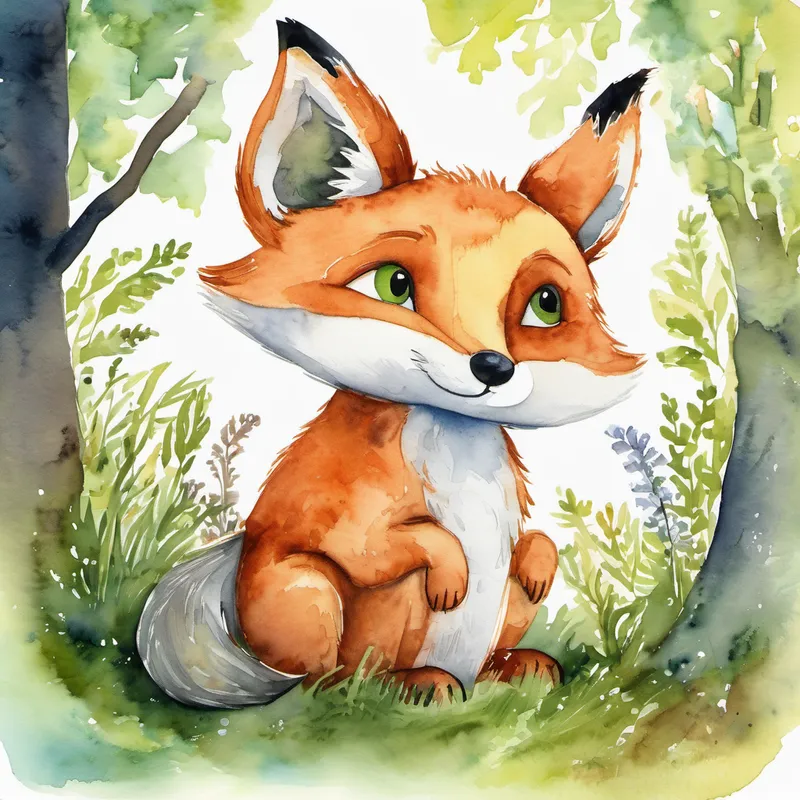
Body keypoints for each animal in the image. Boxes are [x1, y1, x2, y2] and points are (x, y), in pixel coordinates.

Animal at [137, 19, 649, 708]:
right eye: (393, 285)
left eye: (545, 306)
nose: (493, 367)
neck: (454, 447)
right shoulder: (342, 516)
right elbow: (393, 544)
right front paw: (450, 566)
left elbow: (536, 542)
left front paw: (542, 564)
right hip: (310, 594)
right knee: (327, 680)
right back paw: (411, 685)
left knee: (491, 644)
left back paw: (511, 668)